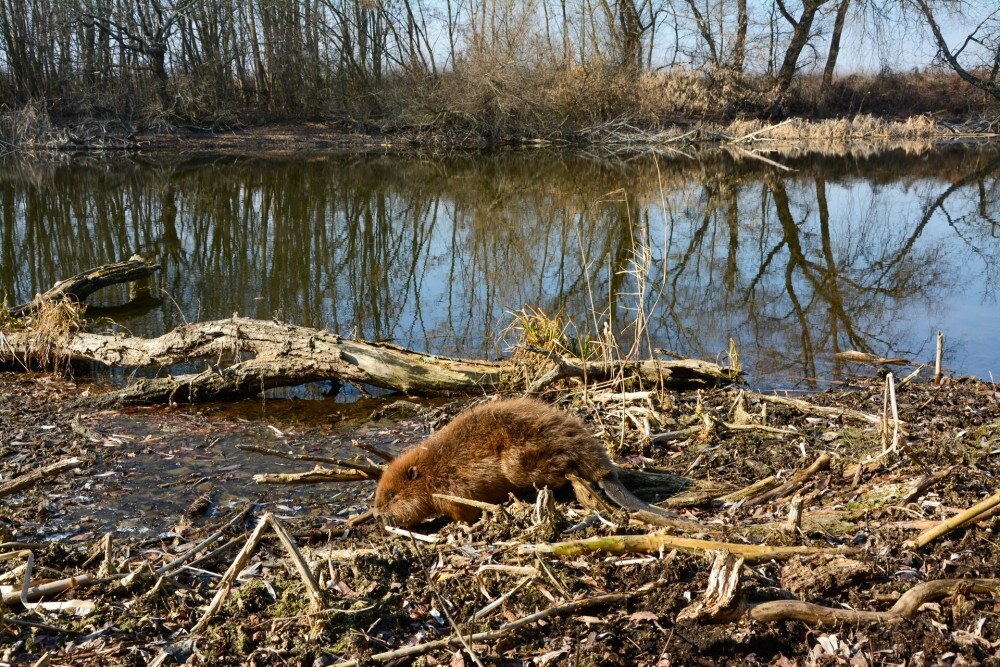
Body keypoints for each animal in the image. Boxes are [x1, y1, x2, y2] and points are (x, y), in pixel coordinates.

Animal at [372, 400, 668, 528]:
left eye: (392, 495)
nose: (377, 516)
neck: (433, 470)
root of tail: (606, 472)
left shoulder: (454, 486)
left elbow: (463, 512)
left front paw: (460, 525)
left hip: (522, 463)